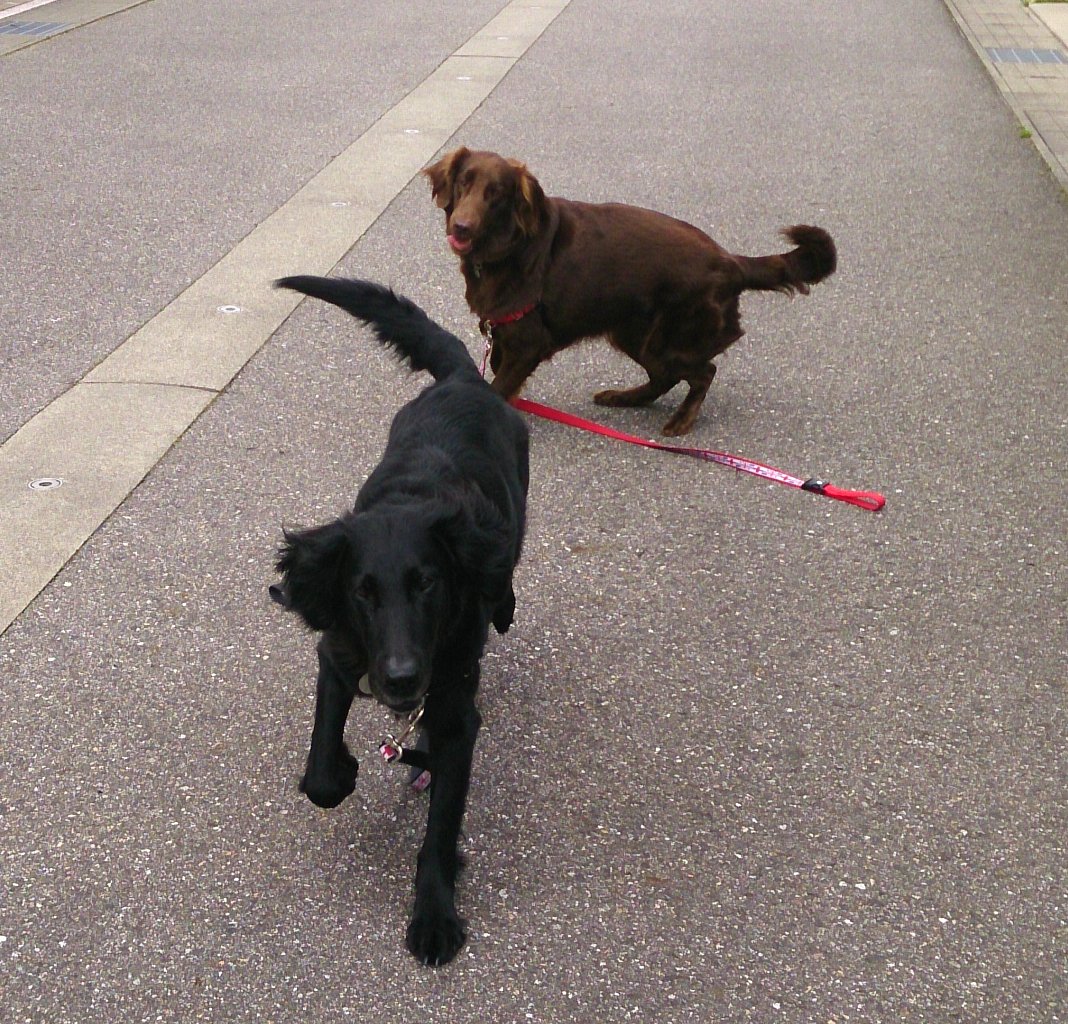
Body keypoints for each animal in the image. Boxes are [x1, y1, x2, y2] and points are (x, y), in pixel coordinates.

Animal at [270, 276, 529, 966]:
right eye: (362, 593)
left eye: (428, 584)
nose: (404, 680)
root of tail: (464, 377)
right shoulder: (339, 654)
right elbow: (321, 769)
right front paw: (345, 770)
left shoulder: (456, 710)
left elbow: (440, 826)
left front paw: (435, 914)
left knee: (505, 563)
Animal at [424, 147, 837, 435]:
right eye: (464, 182)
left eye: (496, 193)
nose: (461, 227)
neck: (509, 247)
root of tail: (730, 261)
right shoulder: (504, 335)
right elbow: (498, 380)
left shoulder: (528, 343)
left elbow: (496, 388)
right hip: (634, 334)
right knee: (663, 377)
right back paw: (624, 398)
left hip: (670, 340)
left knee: (703, 371)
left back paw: (680, 421)